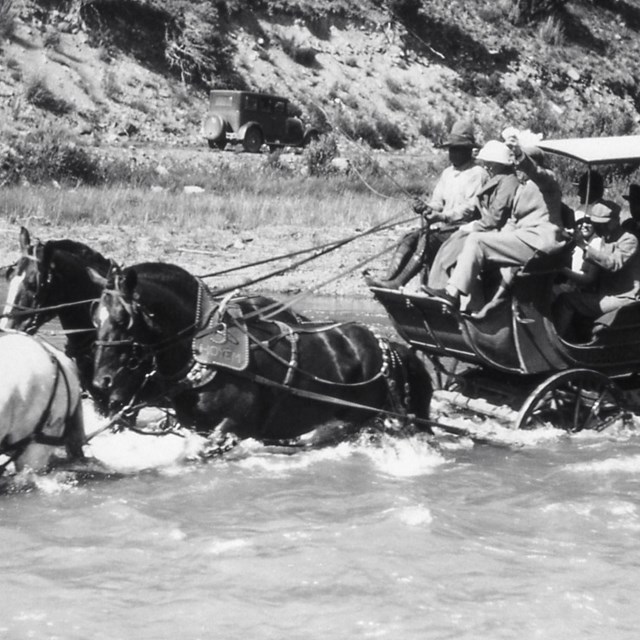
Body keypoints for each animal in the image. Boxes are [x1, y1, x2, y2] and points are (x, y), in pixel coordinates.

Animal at [90, 262, 432, 442]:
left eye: (122, 319)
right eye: (95, 318)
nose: (100, 383)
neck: (202, 351)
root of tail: (385, 344)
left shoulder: (229, 431)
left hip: (362, 419)